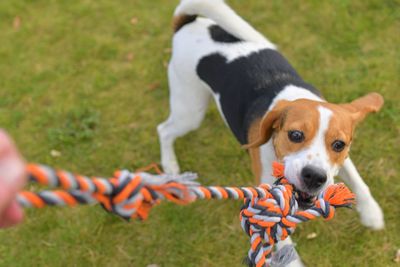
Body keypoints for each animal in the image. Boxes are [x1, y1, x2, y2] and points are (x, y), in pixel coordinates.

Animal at [158, 0, 386, 266]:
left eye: (339, 144)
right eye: (295, 135)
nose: (314, 177)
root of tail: (187, 23)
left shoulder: (340, 162)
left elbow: (359, 182)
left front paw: (371, 213)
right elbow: (276, 229)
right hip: (190, 109)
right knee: (164, 130)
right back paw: (170, 165)